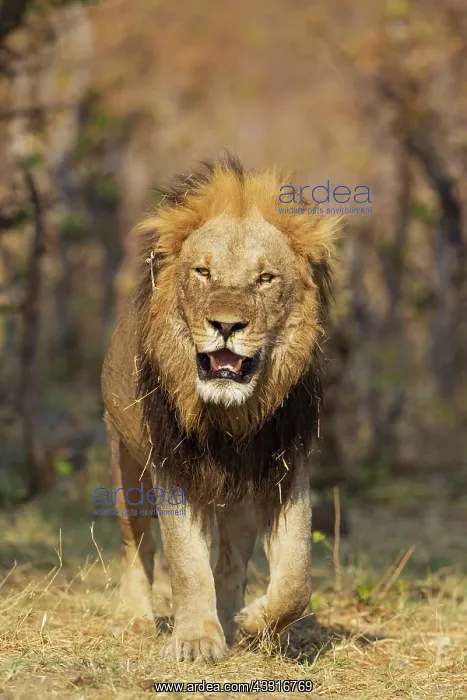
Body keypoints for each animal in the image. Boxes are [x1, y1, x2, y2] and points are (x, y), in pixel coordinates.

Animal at [101, 153, 341, 662]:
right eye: (202, 273)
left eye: (266, 278)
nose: (227, 326)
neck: (230, 417)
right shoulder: (173, 468)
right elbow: (187, 564)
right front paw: (195, 641)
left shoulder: (284, 470)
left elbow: (297, 578)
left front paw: (252, 623)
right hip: (125, 463)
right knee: (137, 546)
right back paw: (136, 617)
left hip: (237, 500)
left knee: (231, 561)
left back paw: (234, 621)